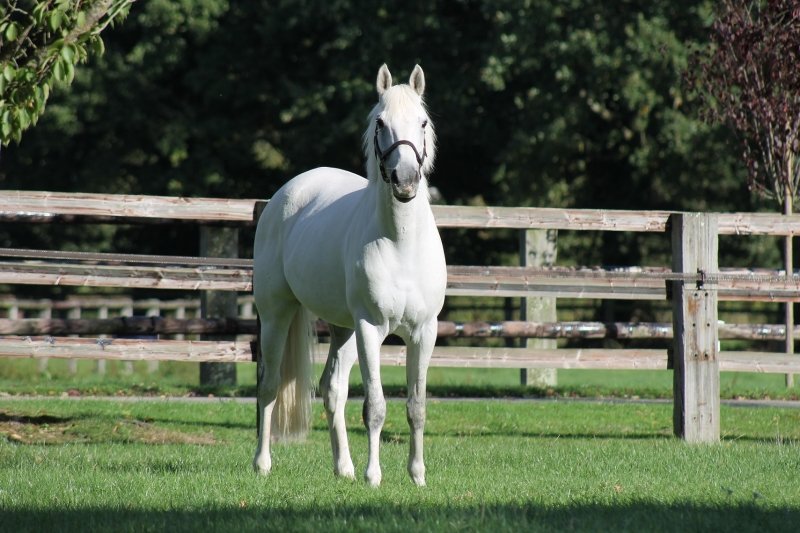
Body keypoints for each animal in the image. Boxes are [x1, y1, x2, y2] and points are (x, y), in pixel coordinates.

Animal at [252, 64, 446, 486]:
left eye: (423, 122)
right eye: (380, 123)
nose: (406, 180)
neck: (401, 245)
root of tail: (286, 194)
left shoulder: (424, 332)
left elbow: (416, 406)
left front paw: (417, 476)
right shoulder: (370, 328)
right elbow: (375, 406)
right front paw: (375, 476)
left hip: (342, 329)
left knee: (332, 390)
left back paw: (344, 468)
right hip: (277, 315)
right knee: (269, 385)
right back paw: (262, 463)